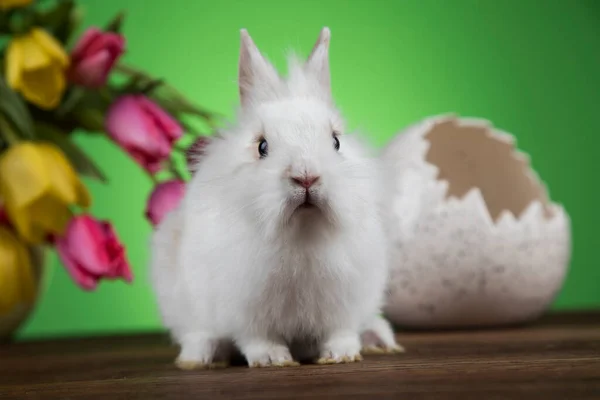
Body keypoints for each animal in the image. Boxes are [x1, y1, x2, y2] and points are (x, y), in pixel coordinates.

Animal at [149, 26, 404, 368]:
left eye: (336, 141)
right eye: (262, 146)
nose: (306, 176)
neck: (302, 232)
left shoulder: (346, 302)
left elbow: (341, 331)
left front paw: (341, 355)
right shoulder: (244, 309)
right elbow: (257, 338)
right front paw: (272, 359)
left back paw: (379, 339)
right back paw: (201, 355)